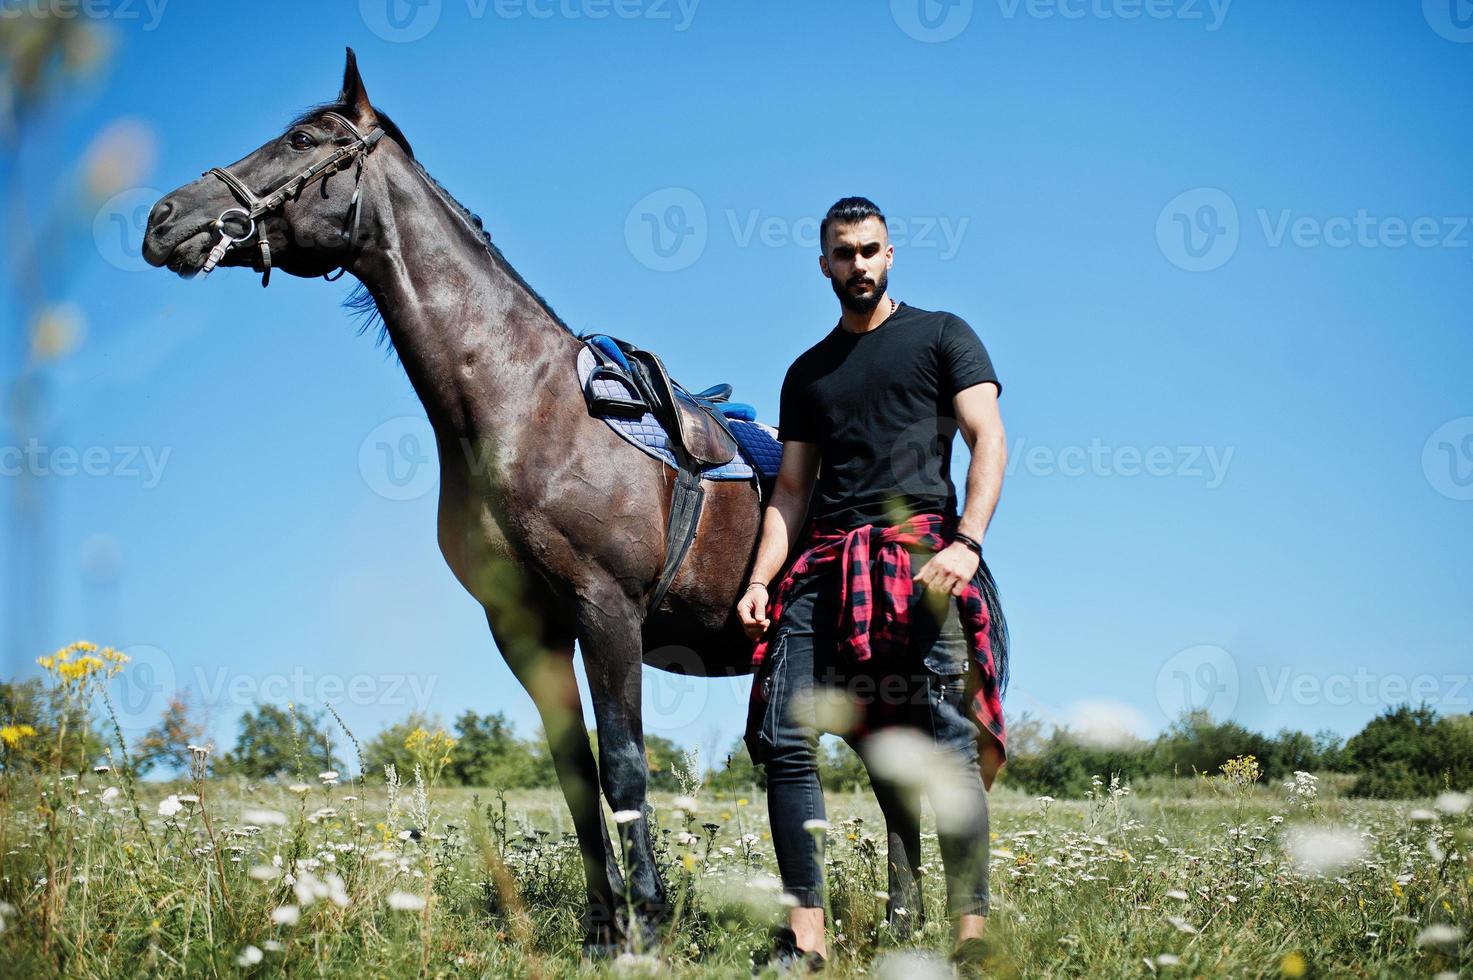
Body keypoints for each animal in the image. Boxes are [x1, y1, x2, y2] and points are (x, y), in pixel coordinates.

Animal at [139, 51, 765, 943]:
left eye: (302, 140)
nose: (162, 219)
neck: (524, 405)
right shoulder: (525, 630)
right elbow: (574, 775)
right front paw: (602, 929)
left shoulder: (607, 610)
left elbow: (624, 769)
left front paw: (646, 925)